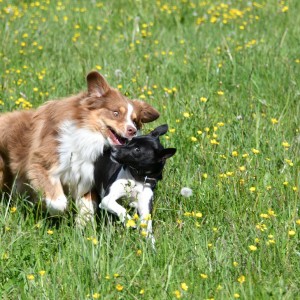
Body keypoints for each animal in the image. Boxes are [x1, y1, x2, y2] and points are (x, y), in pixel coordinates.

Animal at [0, 71, 159, 224]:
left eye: (134, 120)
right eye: (116, 113)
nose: (132, 130)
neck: (88, 136)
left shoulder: (87, 177)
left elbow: (87, 207)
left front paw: (81, 225)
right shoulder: (41, 162)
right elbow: (59, 202)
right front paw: (57, 213)